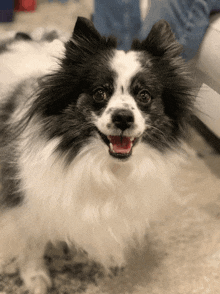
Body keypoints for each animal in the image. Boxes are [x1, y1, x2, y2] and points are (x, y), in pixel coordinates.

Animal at [0, 17, 192, 292]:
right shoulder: (27, 204)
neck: (104, 167)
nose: (123, 117)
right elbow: (33, 242)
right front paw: (35, 276)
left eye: (144, 96)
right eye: (99, 93)